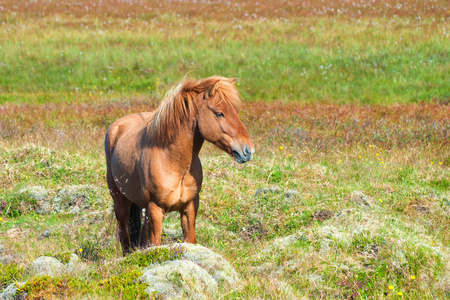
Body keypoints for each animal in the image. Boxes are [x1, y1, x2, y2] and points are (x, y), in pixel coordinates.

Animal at [104, 76, 253, 254]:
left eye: (236, 112)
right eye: (219, 113)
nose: (248, 150)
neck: (174, 163)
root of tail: (116, 127)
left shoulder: (189, 207)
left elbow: (190, 240)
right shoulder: (156, 210)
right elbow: (155, 244)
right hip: (121, 203)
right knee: (125, 238)